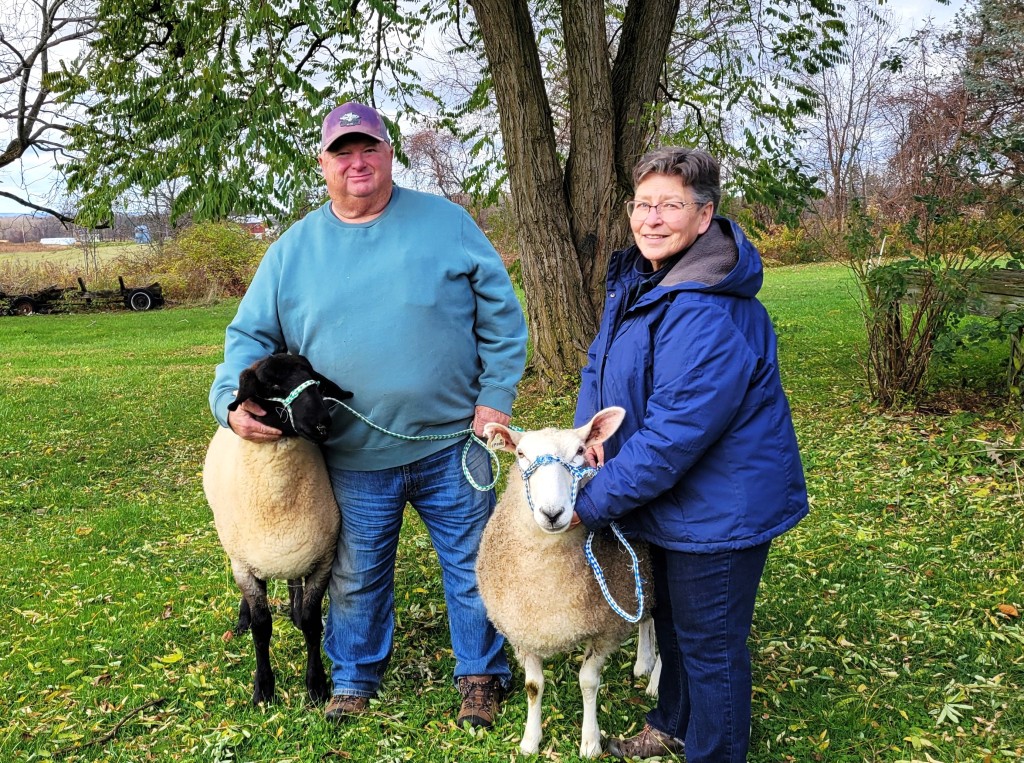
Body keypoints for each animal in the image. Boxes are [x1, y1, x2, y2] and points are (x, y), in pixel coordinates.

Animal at [203, 353, 353, 706]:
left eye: (316, 380)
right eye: (270, 385)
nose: (323, 423)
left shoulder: (322, 559)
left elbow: (312, 624)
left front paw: (316, 685)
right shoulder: (244, 566)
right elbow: (262, 628)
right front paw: (264, 689)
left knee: (292, 581)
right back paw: (242, 621)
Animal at [476, 407, 655, 758]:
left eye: (580, 451)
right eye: (520, 454)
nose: (552, 513)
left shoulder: (605, 628)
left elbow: (588, 682)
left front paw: (590, 742)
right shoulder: (522, 630)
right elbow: (534, 686)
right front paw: (530, 740)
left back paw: (655, 680)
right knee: (647, 619)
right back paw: (644, 662)